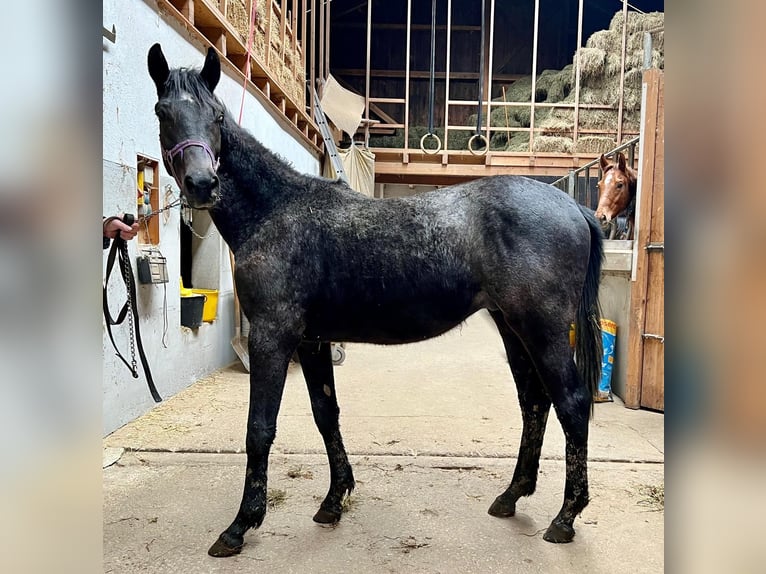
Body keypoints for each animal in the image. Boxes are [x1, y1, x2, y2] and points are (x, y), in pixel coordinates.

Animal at [148, 44, 608, 560]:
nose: (202, 184)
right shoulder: (311, 341)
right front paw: (333, 500)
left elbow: (259, 429)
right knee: (534, 403)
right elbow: (326, 414)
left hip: (543, 329)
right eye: (163, 112)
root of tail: (574, 207)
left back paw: (565, 517)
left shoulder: (272, 337)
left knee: (571, 403)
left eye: (217, 115)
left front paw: (240, 526)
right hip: (513, 328)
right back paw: (511, 496)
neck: (275, 211)